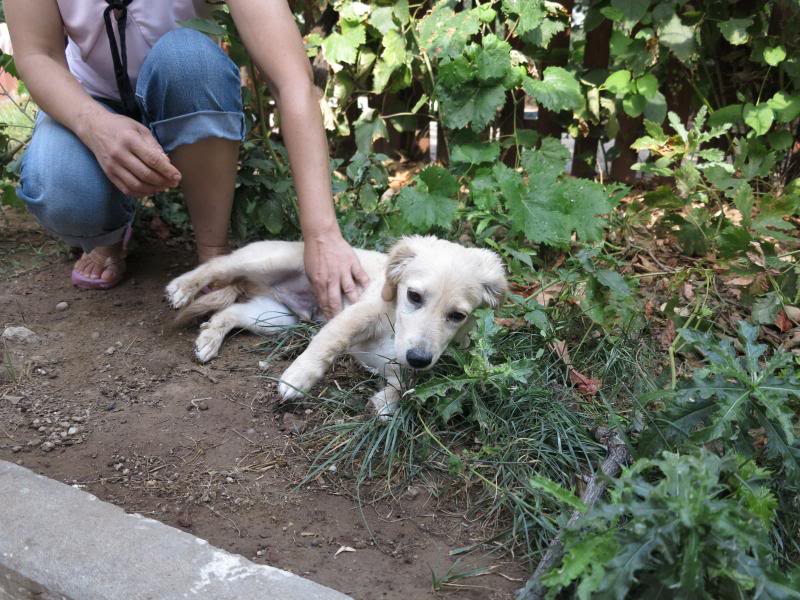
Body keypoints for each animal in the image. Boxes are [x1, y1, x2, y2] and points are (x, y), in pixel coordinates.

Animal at [166, 236, 506, 418]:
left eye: (457, 316)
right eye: (414, 296)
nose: (420, 358)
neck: (395, 324)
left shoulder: (407, 365)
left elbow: (404, 384)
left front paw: (385, 403)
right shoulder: (358, 313)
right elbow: (328, 341)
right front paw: (297, 378)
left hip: (276, 317)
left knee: (230, 312)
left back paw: (209, 339)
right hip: (264, 262)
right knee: (216, 266)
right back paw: (181, 287)